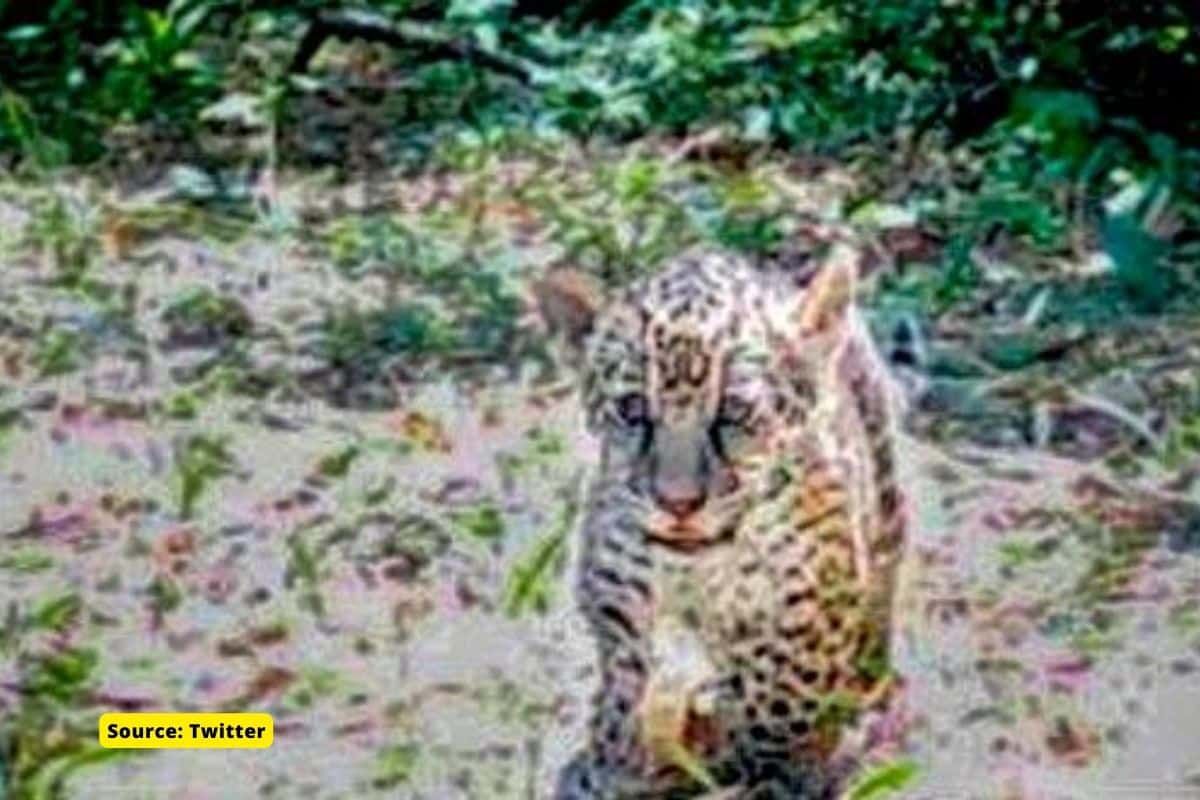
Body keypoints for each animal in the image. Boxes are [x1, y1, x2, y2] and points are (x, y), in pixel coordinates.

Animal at [536, 235, 909, 800]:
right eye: (632, 409)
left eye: (733, 412)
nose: (678, 503)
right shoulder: (619, 598)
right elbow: (626, 695)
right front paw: (615, 761)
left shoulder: (805, 613)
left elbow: (781, 712)